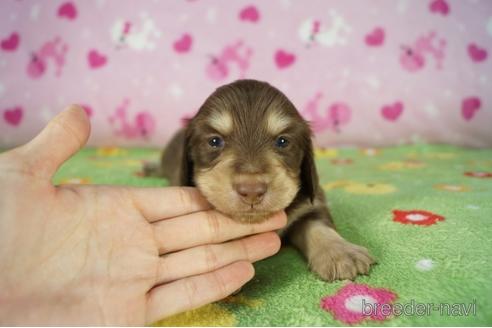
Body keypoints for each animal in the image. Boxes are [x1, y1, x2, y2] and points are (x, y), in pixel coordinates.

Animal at [144, 79, 374, 282]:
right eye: (215, 141)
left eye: (282, 141)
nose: (252, 190)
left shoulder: (311, 203)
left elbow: (319, 226)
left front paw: (341, 252)